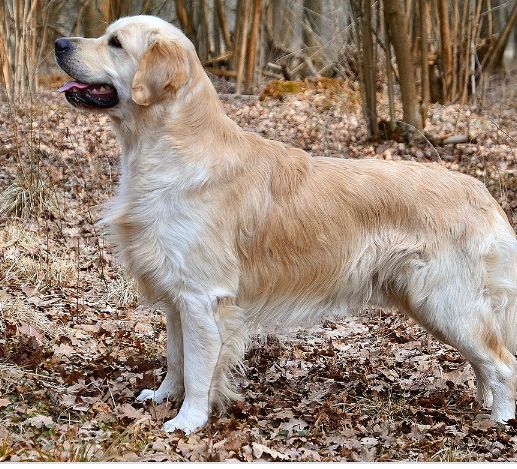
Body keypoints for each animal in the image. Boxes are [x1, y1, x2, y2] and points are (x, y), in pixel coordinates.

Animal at [55, 15, 516, 432]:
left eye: (115, 43)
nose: (60, 43)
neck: (171, 148)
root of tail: (482, 193)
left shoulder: (202, 296)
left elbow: (199, 369)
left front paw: (187, 422)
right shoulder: (176, 294)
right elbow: (176, 357)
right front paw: (163, 396)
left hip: (445, 301)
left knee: (502, 363)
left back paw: (501, 420)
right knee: (485, 361)